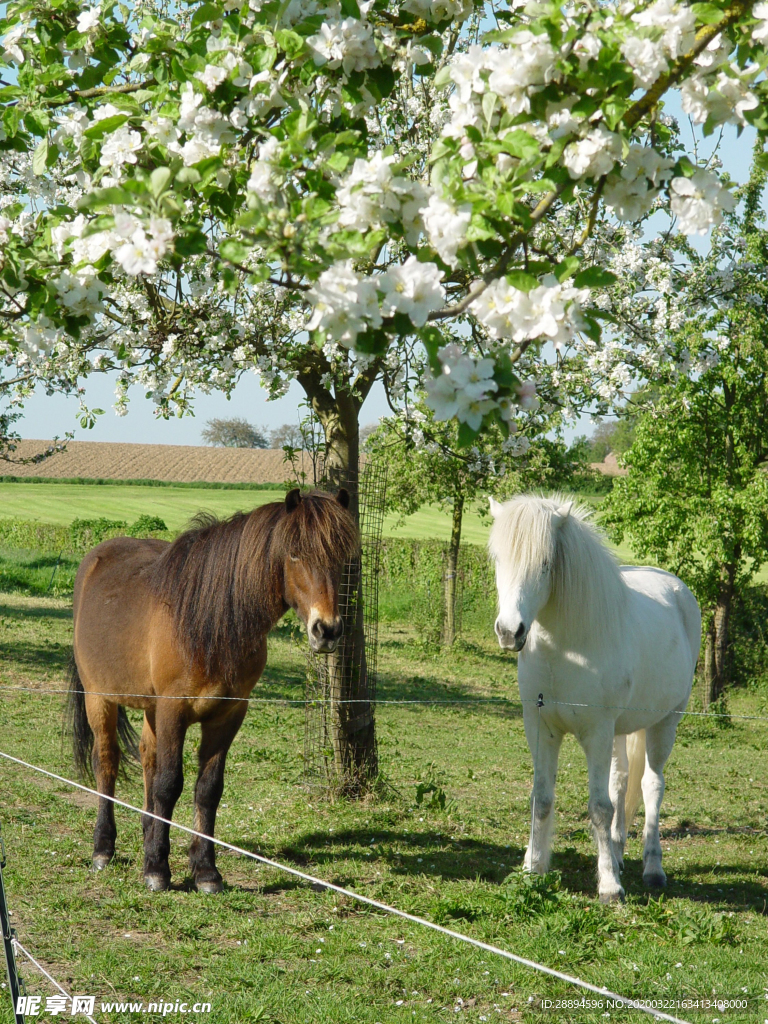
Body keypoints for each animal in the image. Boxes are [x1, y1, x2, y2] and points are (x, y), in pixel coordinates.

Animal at [66, 483, 358, 892]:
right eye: (295, 552)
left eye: (341, 558)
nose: (327, 630)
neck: (210, 621)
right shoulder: (174, 708)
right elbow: (169, 783)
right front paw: (158, 870)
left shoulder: (228, 713)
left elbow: (208, 789)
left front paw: (204, 870)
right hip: (100, 699)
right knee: (106, 762)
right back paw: (103, 849)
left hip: (150, 709)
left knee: (147, 758)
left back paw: (148, 834)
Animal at [489, 495, 700, 905]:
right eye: (497, 559)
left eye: (545, 564)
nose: (509, 632)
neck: (564, 650)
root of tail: (676, 587)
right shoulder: (541, 729)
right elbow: (542, 799)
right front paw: (533, 868)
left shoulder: (596, 732)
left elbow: (600, 807)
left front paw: (609, 887)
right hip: (620, 731)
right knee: (621, 782)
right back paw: (616, 855)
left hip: (665, 723)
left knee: (652, 785)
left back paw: (652, 869)